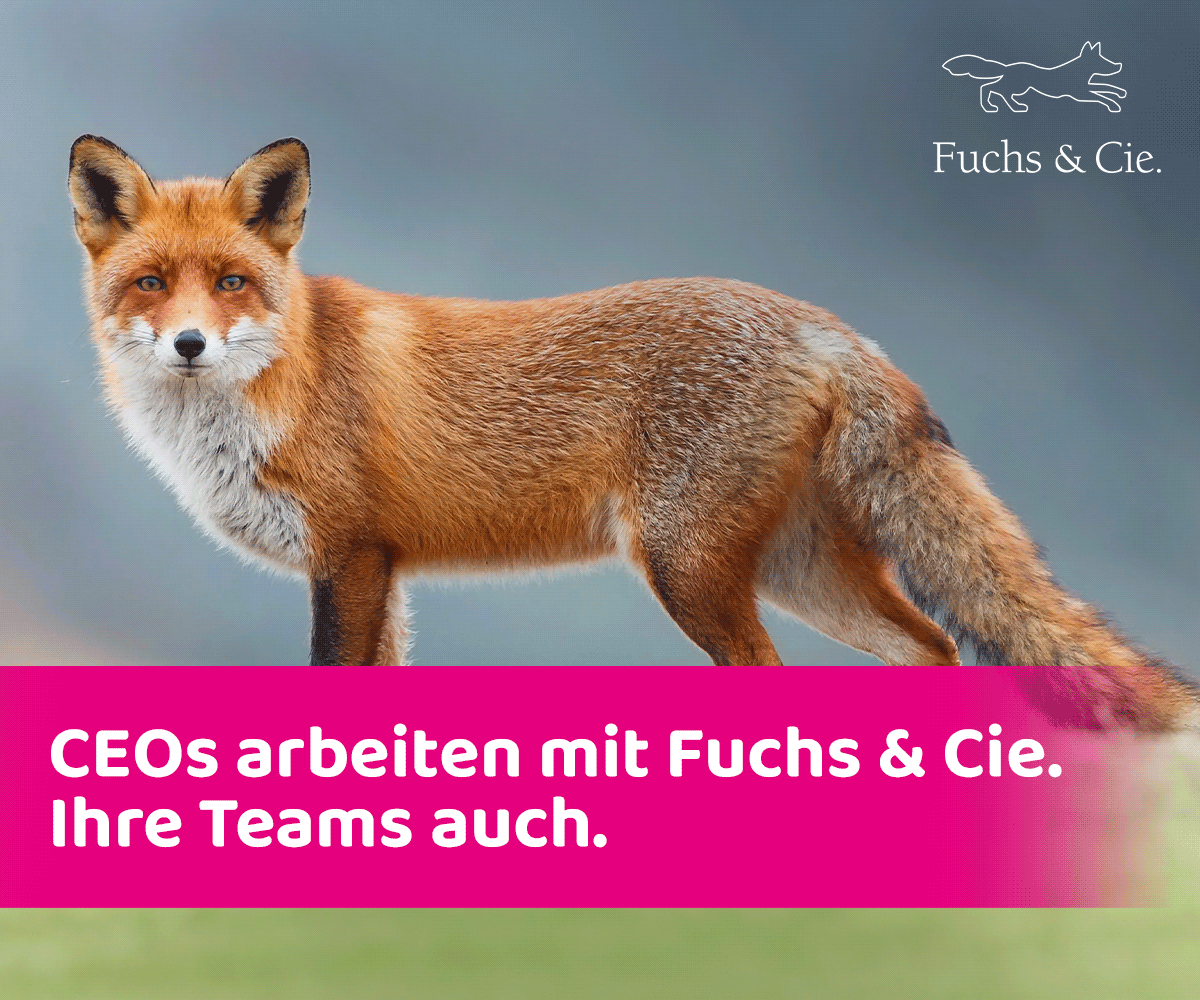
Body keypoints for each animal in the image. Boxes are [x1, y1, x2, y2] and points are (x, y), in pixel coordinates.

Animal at [68, 135, 1196, 730]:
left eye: (232, 283)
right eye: (150, 283)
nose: (188, 345)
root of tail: (825, 323)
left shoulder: (348, 557)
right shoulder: (381, 570)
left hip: (689, 567)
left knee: (793, 673)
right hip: (798, 570)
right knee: (933, 648)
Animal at [943, 41, 1127, 113]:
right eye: (1102, 60)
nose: (1118, 66)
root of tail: (1007, 67)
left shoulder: (1086, 88)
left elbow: (1105, 87)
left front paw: (1120, 93)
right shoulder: (1079, 94)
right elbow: (1101, 95)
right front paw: (1113, 105)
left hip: (1019, 88)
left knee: (994, 89)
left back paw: (1010, 106)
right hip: (1018, 86)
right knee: (991, 88)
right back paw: (997, 107)